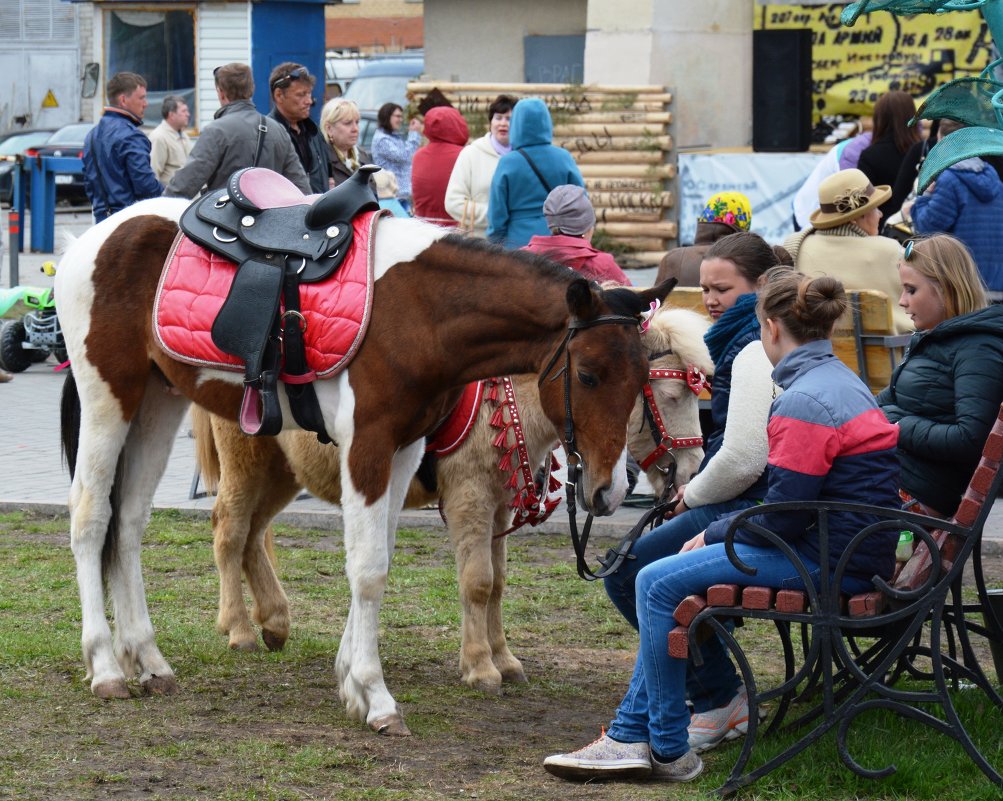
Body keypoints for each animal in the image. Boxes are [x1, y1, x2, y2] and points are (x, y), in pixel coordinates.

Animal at [191, 306, 714, 693]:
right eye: (669, 394)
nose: (692, 470)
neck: (509, 397)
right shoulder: (470, 501)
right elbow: (477, 582)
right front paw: (480, 667)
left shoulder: (500, 507)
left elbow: (498, 584)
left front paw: (505, 659)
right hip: (247, 462)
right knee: (229, 532)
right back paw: (239, 629)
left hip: (280, 472)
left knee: (253, 536)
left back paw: (275, 622)